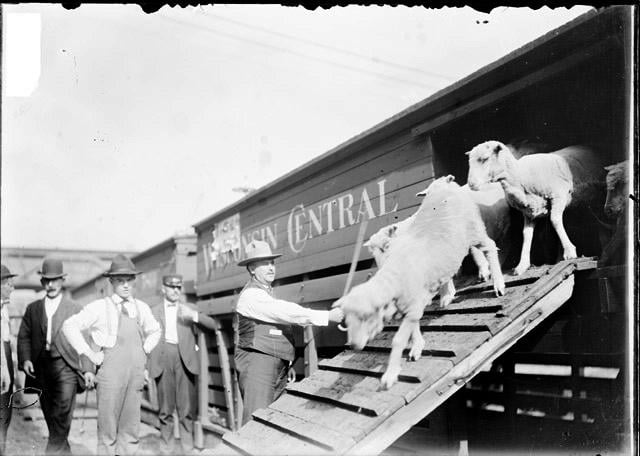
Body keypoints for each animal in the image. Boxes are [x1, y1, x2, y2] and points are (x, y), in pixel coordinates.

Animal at [336, 175, 504, 388]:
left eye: (366, 317)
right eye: (347, 320)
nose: (353, 345)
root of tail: (446, 185)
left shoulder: (414, 304)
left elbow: (399, 339)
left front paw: (390, 375)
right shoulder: (411, 307)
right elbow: (412, 328)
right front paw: (417, 346)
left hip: (475, 229)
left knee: (490, 247)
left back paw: (498, 283)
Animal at [464, 140, 604, 274]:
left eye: (485, 158)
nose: (471, 184)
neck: (520, 175)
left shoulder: (558, 196)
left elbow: (555, 221)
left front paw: (570, 251)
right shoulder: (529, 212)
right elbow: (526, 234)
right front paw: (522, 265)